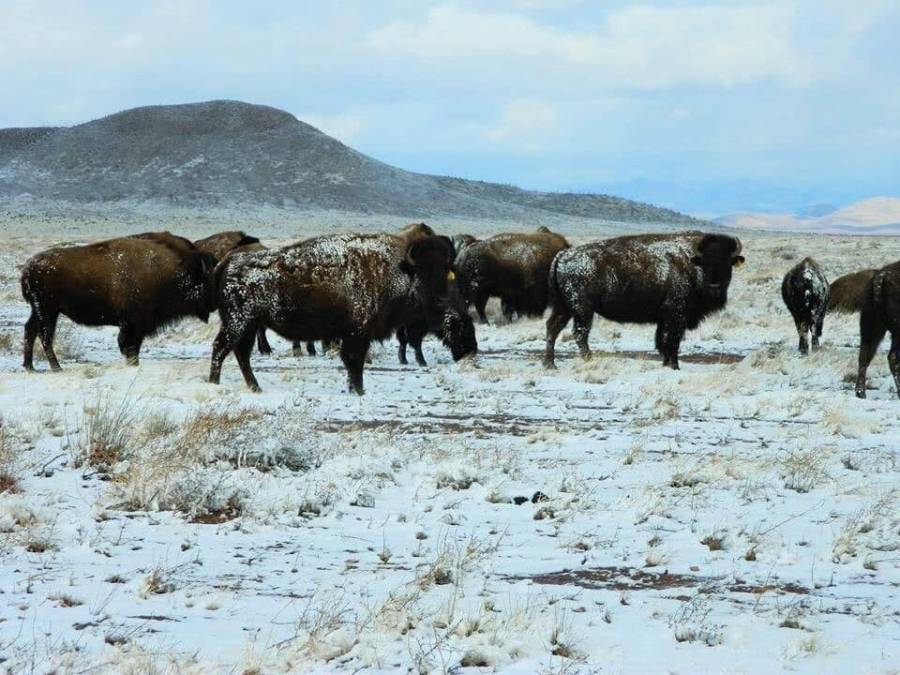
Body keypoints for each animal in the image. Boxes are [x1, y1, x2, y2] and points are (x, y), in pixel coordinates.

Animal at [21, 232, 218, 370]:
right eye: (206, 281)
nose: (216, 303)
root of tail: (28, 268)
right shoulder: (133, 325)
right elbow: (130, 347)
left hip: (42, 311)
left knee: (30, 330)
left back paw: (30, 367)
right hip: (47, 310)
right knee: (44, 335)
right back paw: (56, 368)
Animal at [207, 230, 468, 394]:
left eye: (445, 270)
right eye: (421, 272)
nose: (442, 300)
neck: (396, 270)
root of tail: (228, 262)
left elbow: (352, 363)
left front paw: (355, 389)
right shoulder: (358, 334)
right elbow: (355, 362)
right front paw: (359, 391)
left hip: (249, 325)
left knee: (241, 353)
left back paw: (255, 387)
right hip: (238, 322)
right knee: (221, 348)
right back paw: (215, 383)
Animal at [540, 232, 744, 370]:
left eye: (728, 262)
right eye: (706, 262)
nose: (715, 285)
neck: (692, 263)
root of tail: (563, 255)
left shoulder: (664, 319)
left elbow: (663, 340)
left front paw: (666, 364)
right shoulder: (676, 315)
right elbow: (672, 341)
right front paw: (674, 366)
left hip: (564, 307)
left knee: (553, 328)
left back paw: (550, 364)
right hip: (582, 309)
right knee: (579, 333)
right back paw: (589, 359)